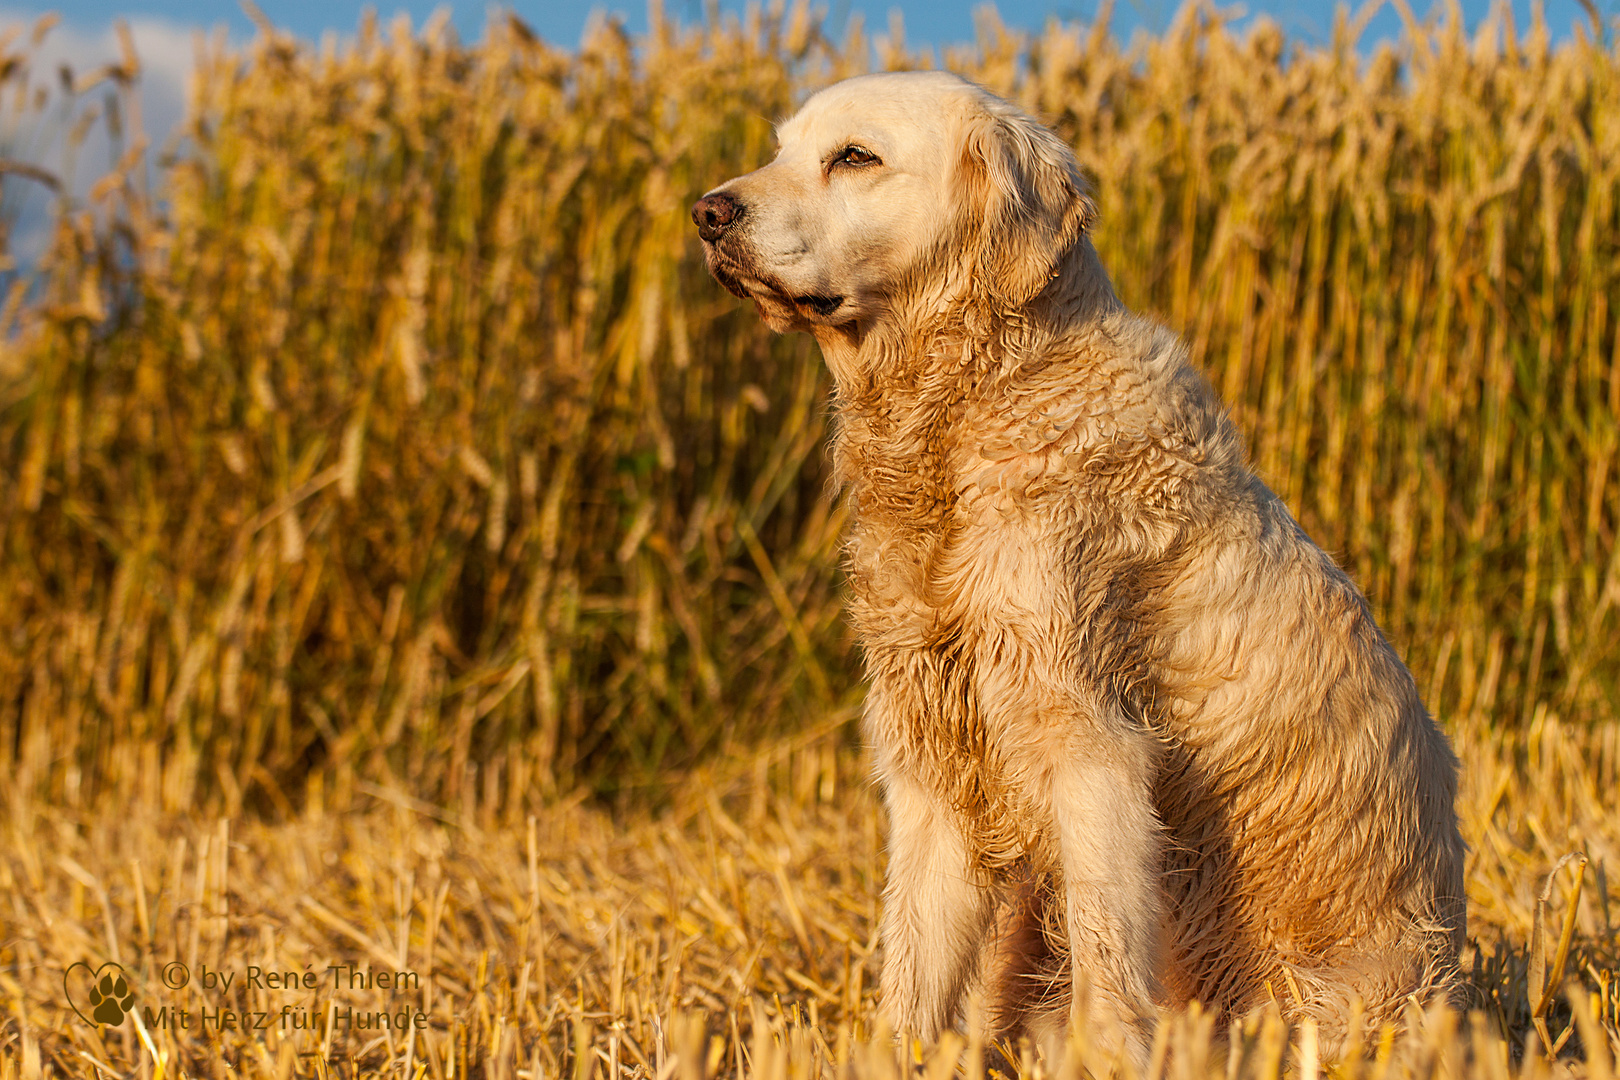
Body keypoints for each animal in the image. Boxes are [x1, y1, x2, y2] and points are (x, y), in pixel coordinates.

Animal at [690, 74, 1477, 1062]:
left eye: (855, 157)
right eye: (783, 150)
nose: (706, 212)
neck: (972, 408)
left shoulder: (1090, 745)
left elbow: (1108, 961)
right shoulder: (933, 764)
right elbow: (911, 973)